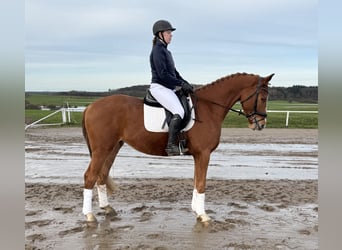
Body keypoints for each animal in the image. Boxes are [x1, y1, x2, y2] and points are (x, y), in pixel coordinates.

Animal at [81, 72, 274, 223]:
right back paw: (89, 216)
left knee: (102, 175)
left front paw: (196, 211)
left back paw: (107, 208)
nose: (261, 124)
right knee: (90, 176)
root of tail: (90, 106)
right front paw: (204, 216)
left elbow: (196, 181)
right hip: (102, 150)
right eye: (263, 98)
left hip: (113, 148)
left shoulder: (198, 155)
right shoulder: (204, 154)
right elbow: (201, 183)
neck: (209, 108)